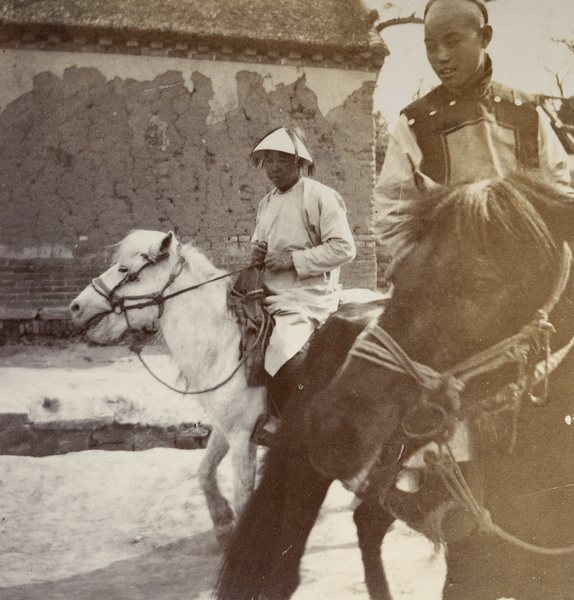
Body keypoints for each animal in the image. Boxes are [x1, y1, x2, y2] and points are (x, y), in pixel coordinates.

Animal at [70, 230, 266, 548]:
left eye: (124, 269)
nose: (75, 307)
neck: (228, 345)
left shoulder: (243, 435)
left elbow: (244, 498)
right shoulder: (226, 427)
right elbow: (204, 471)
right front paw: (223, 525)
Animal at [216, 170, 574, 600]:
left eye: (482, 284)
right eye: (397, 276)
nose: (329, 426)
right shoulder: (466, 571)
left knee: (366, 523)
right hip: (303, 476)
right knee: (284, 571)